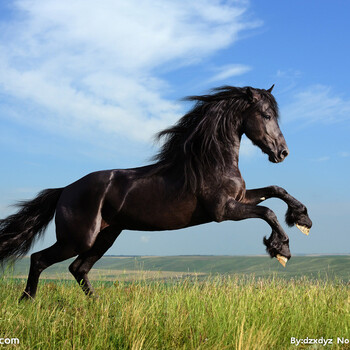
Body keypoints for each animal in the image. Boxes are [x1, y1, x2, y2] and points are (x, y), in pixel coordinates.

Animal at [0, 85, 312, 298]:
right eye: (266, 114)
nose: (282, 153)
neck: (210, 161)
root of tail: (65, 190)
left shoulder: (239, 199)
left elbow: (275, 189)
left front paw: (302, 220)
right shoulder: (224, 210)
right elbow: (267, 210)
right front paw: (281, 249)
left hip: (105, 237)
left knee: (78, 269)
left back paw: (99, 306)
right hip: (78, 239)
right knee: (40, 259)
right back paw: (27, 301)